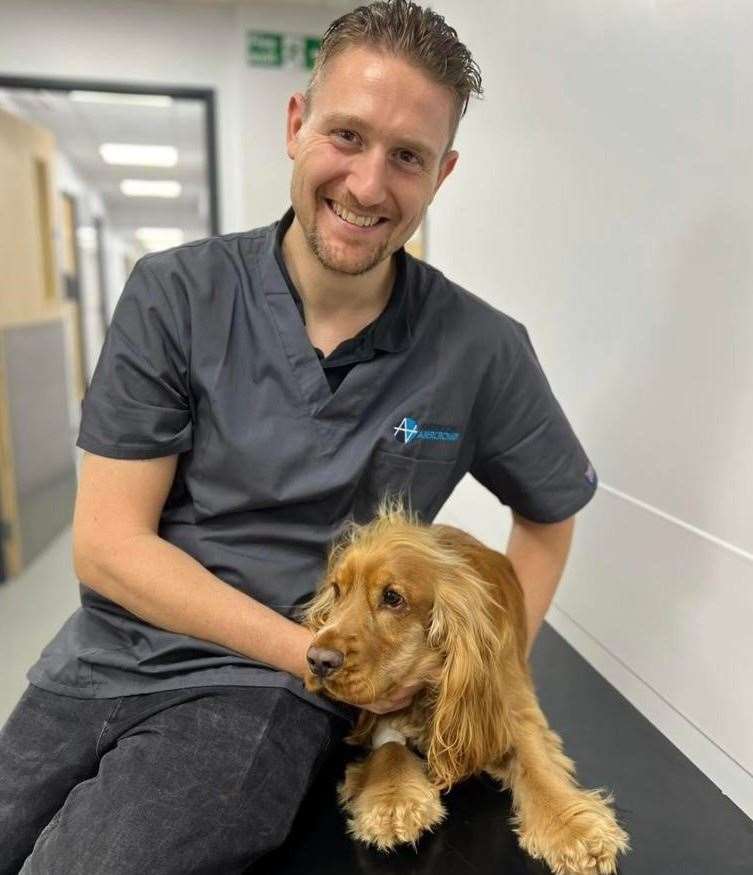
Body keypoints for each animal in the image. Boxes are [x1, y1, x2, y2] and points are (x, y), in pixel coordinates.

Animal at [302, 506, 628, 875]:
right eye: (336, 590)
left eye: (392, 598)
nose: (317, 661)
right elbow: (390, 745)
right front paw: (393, 800)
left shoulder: (510, 699)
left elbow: (536, 762)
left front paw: (572, 829)